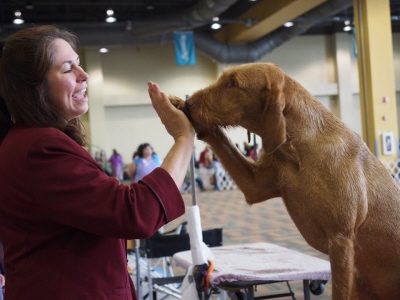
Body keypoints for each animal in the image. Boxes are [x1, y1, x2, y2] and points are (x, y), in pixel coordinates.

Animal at [170, 62, 400, 298]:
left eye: (233, 83)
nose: (190, 101)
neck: (299, 149)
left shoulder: (341, 240)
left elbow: (339, 290)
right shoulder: (255, 185)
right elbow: (220, 140)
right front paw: (179, 108)